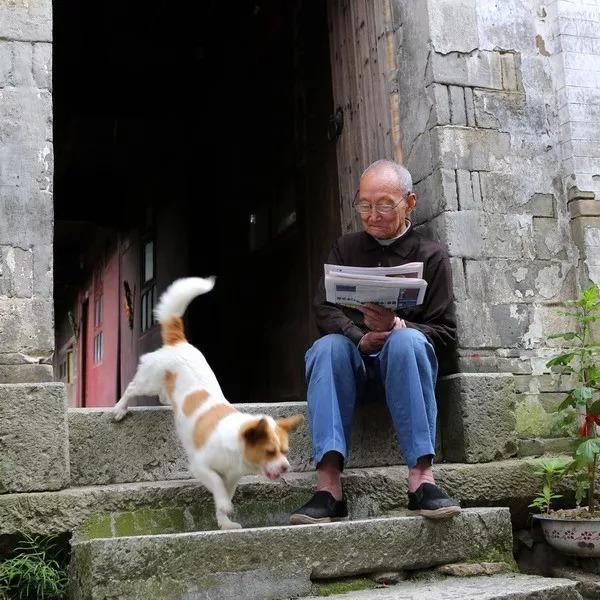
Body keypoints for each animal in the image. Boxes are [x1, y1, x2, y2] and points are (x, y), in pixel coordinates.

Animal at [111, 274, 304, 528]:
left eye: (285, 451)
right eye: (270, 452)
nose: (285, 467)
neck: (235, 447)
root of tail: (179, 341)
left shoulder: (231, 478)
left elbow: (224, 492)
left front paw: (225, 523)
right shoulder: (201, 466)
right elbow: (217, 487)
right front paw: (224, 507)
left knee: (163, 394)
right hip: (148, 380)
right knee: (132, 388)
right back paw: (119, 409)